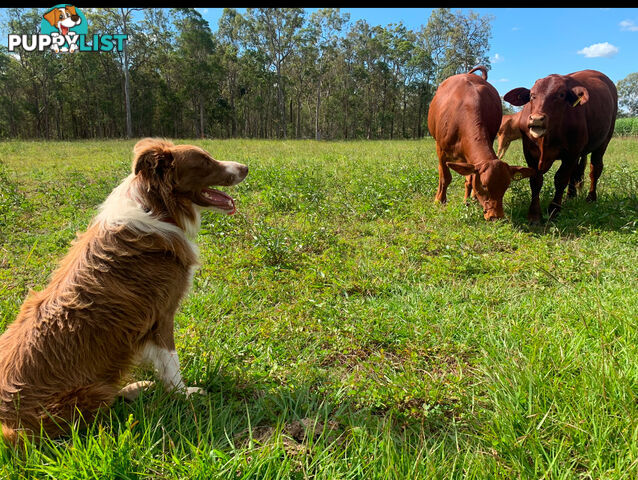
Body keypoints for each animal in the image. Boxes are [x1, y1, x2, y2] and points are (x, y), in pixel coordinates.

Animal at [0, 138, 249, 442]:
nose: (246, 167)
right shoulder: (162, 314)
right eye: (203, 161)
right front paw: (184, 394)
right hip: (87, 395)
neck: (159, 208)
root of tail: (7, 424)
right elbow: (171, 363)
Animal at [428, 65, 536, 219]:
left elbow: (471, 179)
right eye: (484, 186)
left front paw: (468, 200)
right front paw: (439, 201)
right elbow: (445, 178)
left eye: (506, 186)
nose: (496, 216)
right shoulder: (441, 150)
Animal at [508, 69, 616, 221]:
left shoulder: (571, 153)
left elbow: (560, 179)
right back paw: (570, 196)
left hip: (603, 141)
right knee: (575, 172)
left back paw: (591, 198)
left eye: (560, 95)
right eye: (532, 95)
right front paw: (534, 214)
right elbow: (535, 180)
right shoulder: (529, 153)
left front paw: (554, 209)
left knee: (595, 169)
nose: (536, 119)